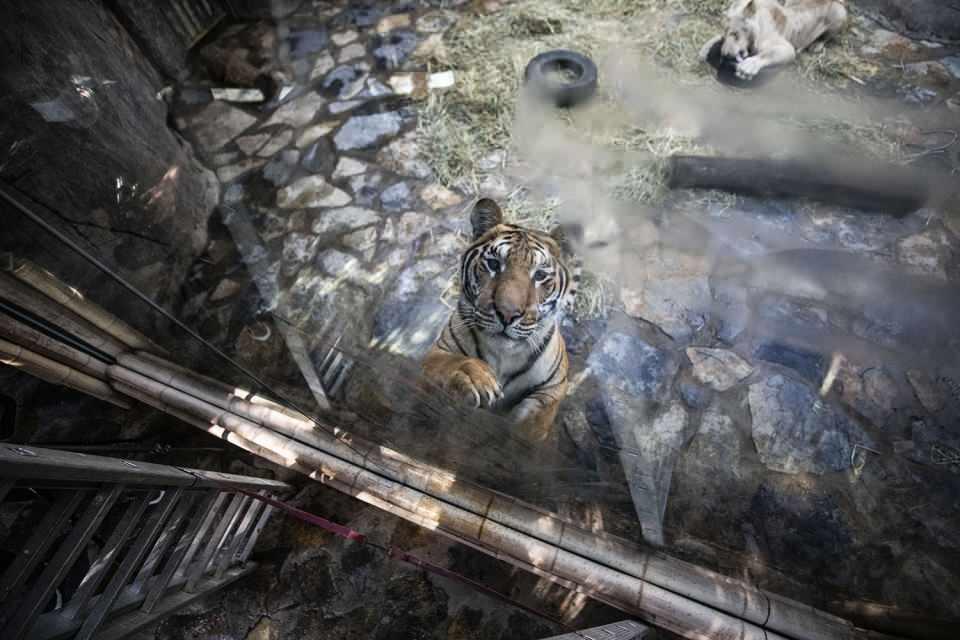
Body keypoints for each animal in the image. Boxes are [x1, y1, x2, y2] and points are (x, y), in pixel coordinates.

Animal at [422, 198, 584, 442]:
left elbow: (532, 422)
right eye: (494, 264)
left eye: (539, 275)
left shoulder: (553, 389)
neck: (503, 356)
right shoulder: (436, 353)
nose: (507, 313)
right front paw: (474, 377)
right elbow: (449, 362)